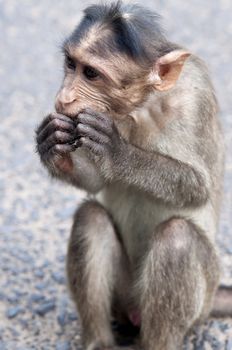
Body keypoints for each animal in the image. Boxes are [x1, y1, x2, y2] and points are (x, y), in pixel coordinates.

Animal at [35, 2, 229, 350]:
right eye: (71, 64)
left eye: (91, 74)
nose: (64, 98)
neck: (142, 106)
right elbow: (96, 184)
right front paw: (50, 143)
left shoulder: (195, 98)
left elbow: (199, 187)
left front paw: (118, 152)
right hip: (124, 295)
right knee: (91, 217)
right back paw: (99, 341)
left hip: (202, 297)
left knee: (178, 239)